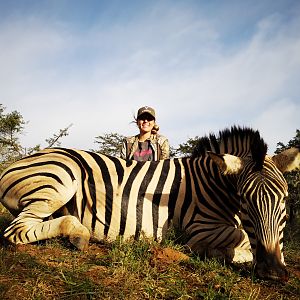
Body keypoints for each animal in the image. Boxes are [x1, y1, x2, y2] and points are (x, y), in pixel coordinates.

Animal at [0, 126, 298, 282]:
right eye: (245, 200)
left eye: (284, 199)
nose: (273, 272)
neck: (214, 183)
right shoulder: (200, 226)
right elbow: (241, 238)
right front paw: (213, 252)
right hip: (60, 178)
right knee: (16, 231)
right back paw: (78, 233)